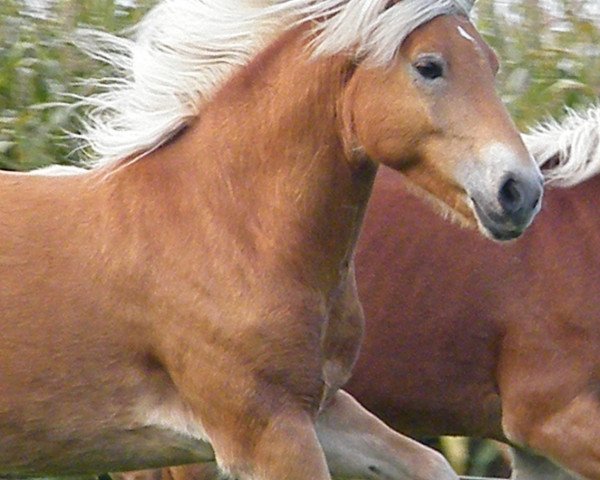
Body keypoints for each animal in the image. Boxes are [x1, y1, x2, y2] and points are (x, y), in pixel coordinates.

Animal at [0, 1, 544, 478]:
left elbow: (431, 464)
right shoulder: (265, 431)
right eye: (429, 66)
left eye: (492, 65)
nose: (520, 191)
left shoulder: (320, 409)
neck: (229, 229)